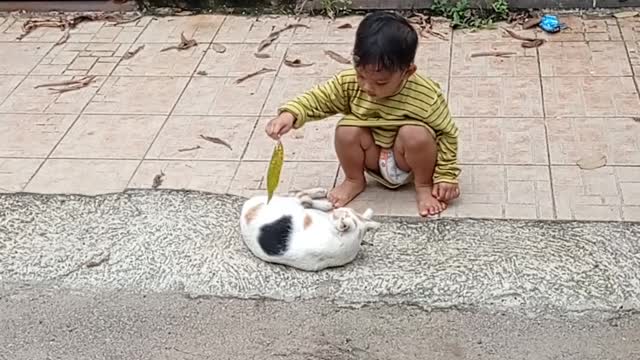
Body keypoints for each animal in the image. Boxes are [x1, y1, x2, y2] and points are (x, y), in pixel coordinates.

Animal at [240, 188, 380, 270]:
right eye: (346, 211)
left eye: (341, 213)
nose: (337, 210)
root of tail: (246, 207)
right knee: (301, 197)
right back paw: (324, 200)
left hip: (289, 203)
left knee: (301, 197)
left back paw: (324, 199)